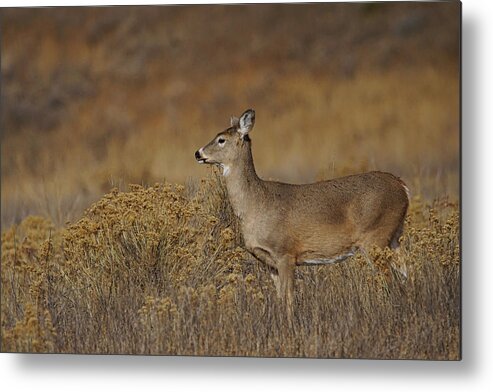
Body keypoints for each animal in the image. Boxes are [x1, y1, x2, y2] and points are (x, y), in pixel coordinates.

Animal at [194, 108, 410, 320]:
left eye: (221, 139)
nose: (197, 153)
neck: (256, 203)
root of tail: (402, 186)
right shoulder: (270, 263)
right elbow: (280, 298)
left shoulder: (285, 253)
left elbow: (289, 299)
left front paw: (290, 325)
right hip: (394, 237)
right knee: (405, 275)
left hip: (375, 237)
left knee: (391, 281)